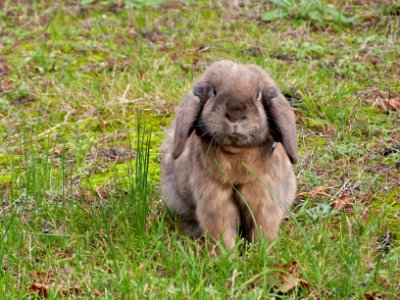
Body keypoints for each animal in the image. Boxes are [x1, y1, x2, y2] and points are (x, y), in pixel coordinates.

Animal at [161, 59, 298, 250]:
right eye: (214, 92)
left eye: (257, 95)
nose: (235, 114)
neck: (236, 152)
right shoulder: (215, 202)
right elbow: (222, 230)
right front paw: (227, 255)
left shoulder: (264, 199)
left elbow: (262, 228)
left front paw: (261, 252)